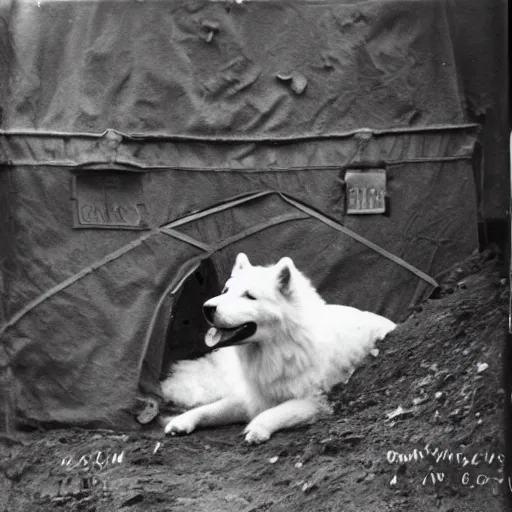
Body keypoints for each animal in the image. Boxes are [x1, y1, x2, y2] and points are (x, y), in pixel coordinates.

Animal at [160, 253, 396, 444]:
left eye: (249, 296)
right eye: (225, 291)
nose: (206, 308)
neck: (281, 348)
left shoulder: (316, 401)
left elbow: (278, 411)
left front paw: (257, 428)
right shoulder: (253, 398)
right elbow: (211, 409)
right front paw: (183, 420)